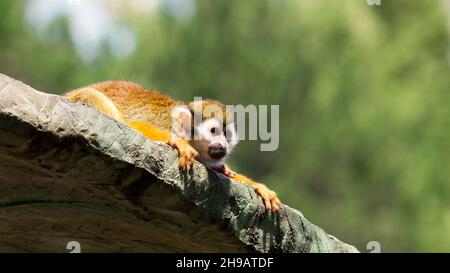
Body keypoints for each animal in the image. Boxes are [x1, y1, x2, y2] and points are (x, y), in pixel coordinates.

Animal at [66, 79, 282, 211]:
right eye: (214, 131)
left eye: (226, 135)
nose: (222, 145)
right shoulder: (165, 124)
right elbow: (133, 126)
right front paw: (177, 142)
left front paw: (258, 186)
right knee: (92, 98)